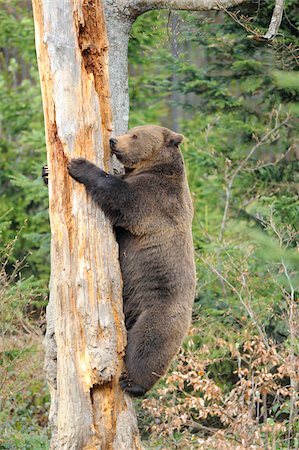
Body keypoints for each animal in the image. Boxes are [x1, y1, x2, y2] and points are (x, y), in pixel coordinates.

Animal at [69, 125, 198, 396]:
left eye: (136, 135)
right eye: (130, 130)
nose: (113, 140)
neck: (154, 166)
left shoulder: (156, 199)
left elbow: (122, 198)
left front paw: (79, 164)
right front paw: (46, 172)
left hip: (160, 311)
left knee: (148, 346)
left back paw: (134, 384)